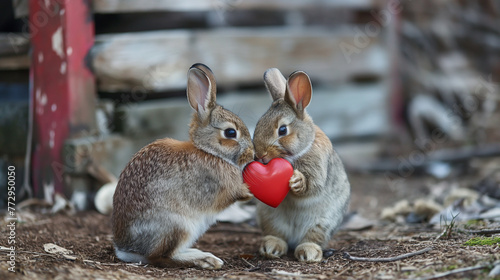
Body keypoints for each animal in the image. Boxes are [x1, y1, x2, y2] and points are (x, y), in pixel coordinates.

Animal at [112, 63, 256, 270]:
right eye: (230, 133)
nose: (252, 154)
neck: (209, 151)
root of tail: (126, 250)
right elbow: (232, 194)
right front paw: (249, 192)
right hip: (178, 226)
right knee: (160, 257)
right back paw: (204, 260)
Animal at [252, 68, 350, 262]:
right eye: (259, 123)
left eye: (283, 130)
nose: (260, 155)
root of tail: (294, 237)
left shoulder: (317, 169)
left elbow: (311, 186)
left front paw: (297, 181)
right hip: (269, 217)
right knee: (278, 235)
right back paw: (271, 247)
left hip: (322, 222)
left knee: (312, 238)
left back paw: (309, 253)